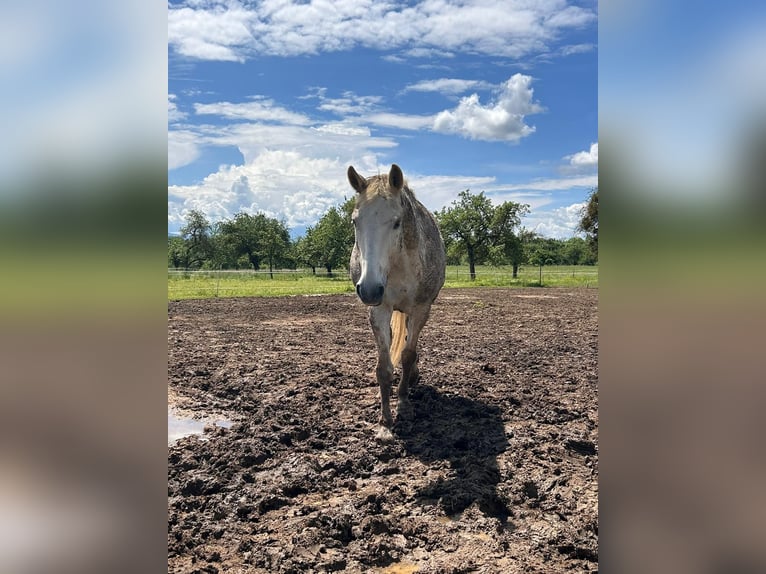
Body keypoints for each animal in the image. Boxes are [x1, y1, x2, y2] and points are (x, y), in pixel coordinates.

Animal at [350, 164, 450, 444]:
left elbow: (407, 354)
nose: (369, 289)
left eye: (396, 222)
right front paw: (385, 423)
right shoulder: (379, 310)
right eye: (355, 221)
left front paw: (404, 402)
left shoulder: (420, 309)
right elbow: (384, 367)